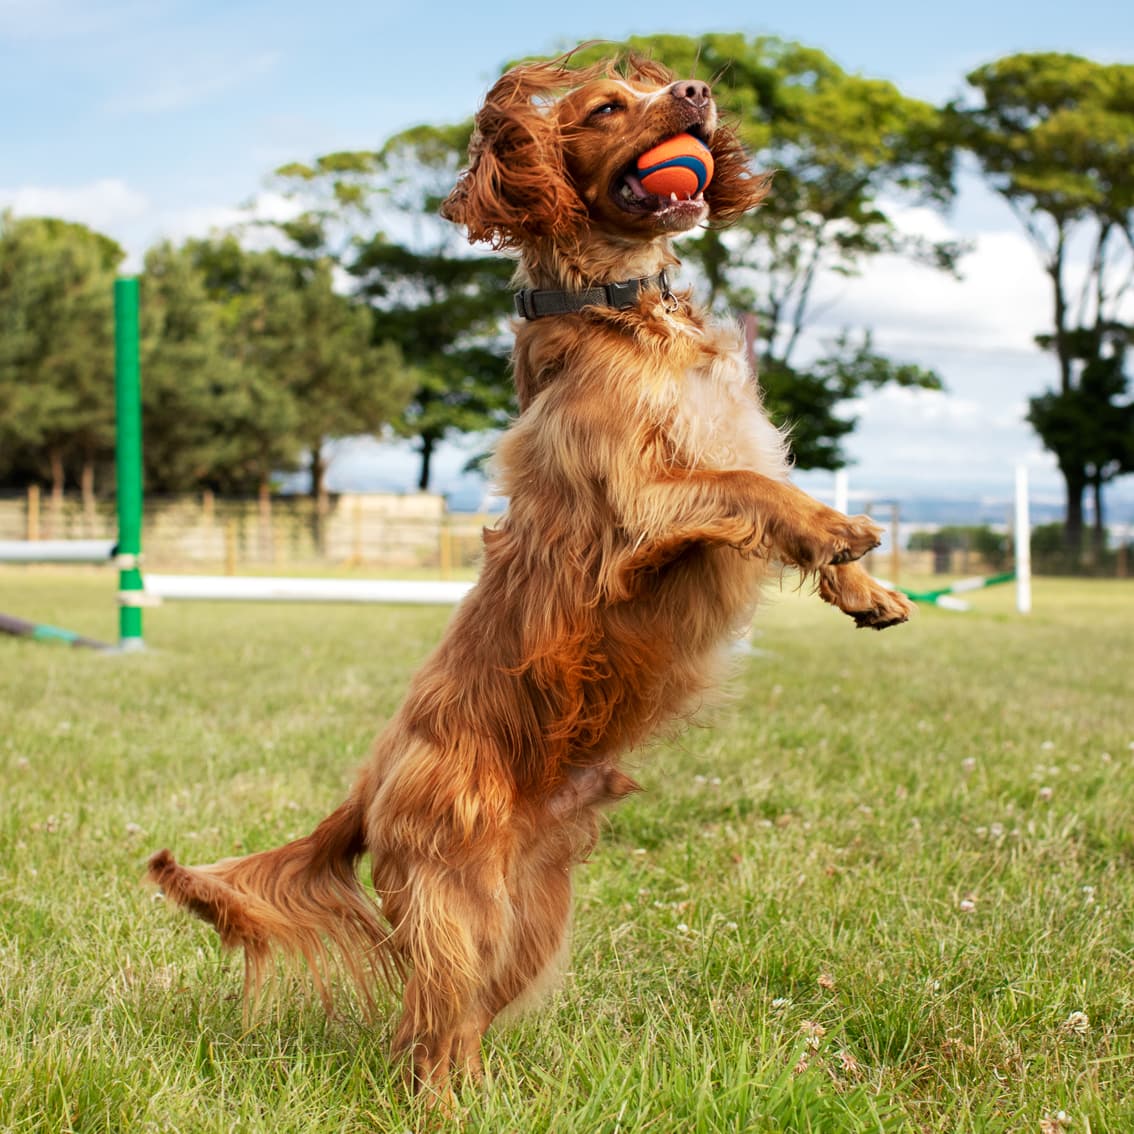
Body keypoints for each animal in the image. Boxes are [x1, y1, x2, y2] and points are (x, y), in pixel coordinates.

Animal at [148, 51, 911, 1097]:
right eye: (607, 107)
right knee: (428, 1028)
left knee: (454, 1019)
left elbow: (774, 492)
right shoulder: (639, 504)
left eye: (665, 85)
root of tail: (368, 781)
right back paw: (448, 1104)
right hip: (458, 897)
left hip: (531, 910)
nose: (697, 96)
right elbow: (752, 490)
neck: (624, 311)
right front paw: (838, 530)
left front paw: (865, 588)